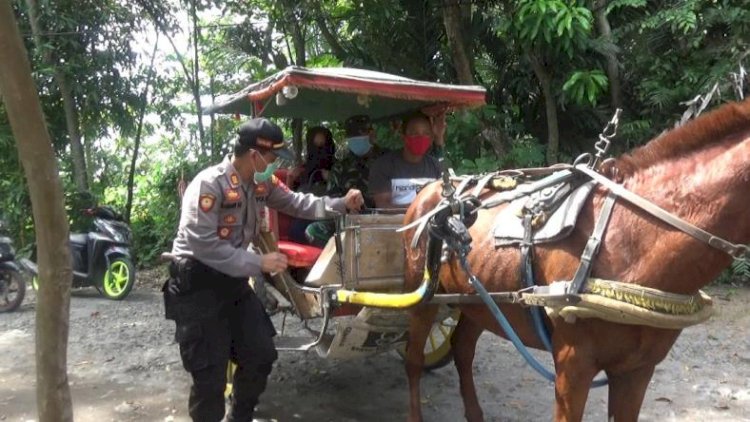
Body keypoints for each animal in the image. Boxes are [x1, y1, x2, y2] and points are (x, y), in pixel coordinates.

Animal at [402, 97, 750, 420]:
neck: (630, 241)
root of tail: (430, 189)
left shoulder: (637, 370)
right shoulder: (573, 365)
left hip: (478, 302)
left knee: (462, 349)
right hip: (422, 297)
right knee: (414, 360)